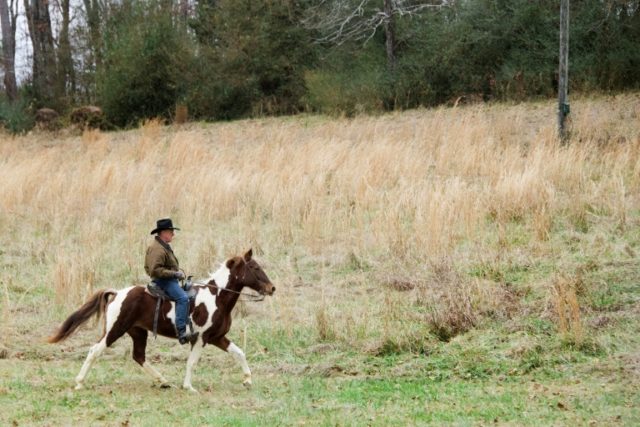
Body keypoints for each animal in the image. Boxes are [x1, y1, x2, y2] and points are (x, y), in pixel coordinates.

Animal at [47, 249, 272, 392]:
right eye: (254, 267)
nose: (272, 288)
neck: (216, 296)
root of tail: (117, 293)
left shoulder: (217, 337)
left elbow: (239, 353)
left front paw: (247, 380)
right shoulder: (200, 338)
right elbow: (192, 362)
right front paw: (189, 387)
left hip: (138, 332)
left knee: (139, 356)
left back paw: (162, 380)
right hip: (114, 330)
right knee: (95, 350)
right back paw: (79, 382)